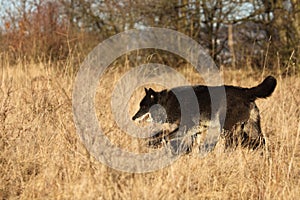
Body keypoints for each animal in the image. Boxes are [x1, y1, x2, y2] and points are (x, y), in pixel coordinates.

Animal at [132, 76, 276, 152]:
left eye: (143, 106)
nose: (132, 118)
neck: (167, 102)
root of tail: (246, 92)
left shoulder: (185, 128)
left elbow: (165, 137)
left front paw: (152, 144)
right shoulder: (197, 131)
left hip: (228, 130)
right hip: (251, 129)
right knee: (262, 144)